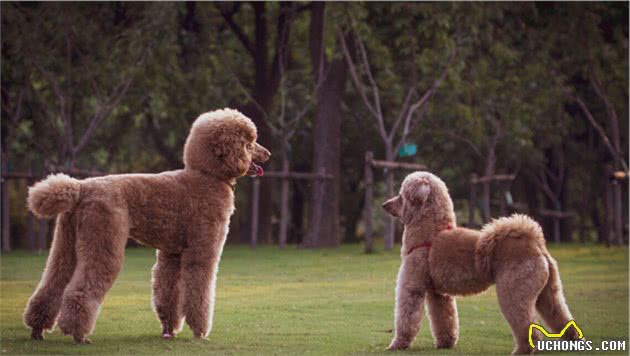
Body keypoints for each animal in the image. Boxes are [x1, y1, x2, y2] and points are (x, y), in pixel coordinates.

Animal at [23, 108, 270, 342]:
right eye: (248, 144)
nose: (267, 153)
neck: (207, 175)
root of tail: (80, 188)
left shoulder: (172, 254)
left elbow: (168, 292)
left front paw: (169, 330)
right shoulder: (202, 252)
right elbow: (198, 291)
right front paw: (200, 332)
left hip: (66, 242)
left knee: (53, 283)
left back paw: (38, 330)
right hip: (103, 238)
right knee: (81, 289)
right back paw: (79, 335)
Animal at [382, 172, 580, 354]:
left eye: (401, 196)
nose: (385, 205)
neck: (432, 233)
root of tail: (535, 243)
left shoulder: (412, 287)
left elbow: (406, 318)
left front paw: (397, 344)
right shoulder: (438, 294)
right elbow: (444, 318)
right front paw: (445, 343)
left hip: (514, 293)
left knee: (527, 326)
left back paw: (522, 350)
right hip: (548, 293)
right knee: (560, 314)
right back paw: (573, 342)